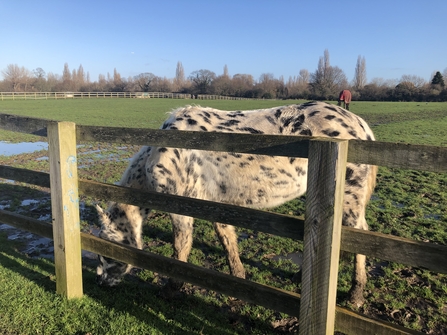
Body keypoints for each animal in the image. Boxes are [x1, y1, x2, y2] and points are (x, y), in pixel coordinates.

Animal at [96, 101, 376, 308]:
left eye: (107, 249)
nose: (102, 284)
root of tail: (360, 124)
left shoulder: (181, 207)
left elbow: (181, 247)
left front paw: (171, 289)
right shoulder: (213, 202)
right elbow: (226, 239)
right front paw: (238, 279)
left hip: (350, 197)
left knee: (360, 237)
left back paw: (356, 296)